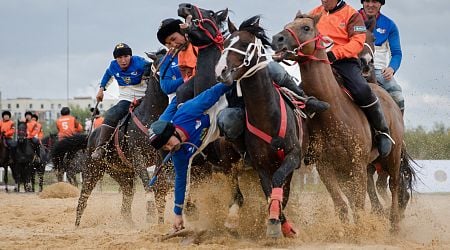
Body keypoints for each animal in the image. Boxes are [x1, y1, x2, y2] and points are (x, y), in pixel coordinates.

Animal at [214, 16, 302, 238]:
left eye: (245, 44)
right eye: (225, 43)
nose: (221, 71)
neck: (268, 117)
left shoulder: (293, 156)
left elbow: (278, 185)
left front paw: (278, 223)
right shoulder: (260, 165)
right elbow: (269, 191)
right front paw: (274, 223)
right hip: (230, 161)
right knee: (237, 190)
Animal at [270, 13, 412, 232]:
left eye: (306, 28)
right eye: (287, 25)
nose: (277, 39)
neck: (334, 112)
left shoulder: (357, 165)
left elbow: (359, 206)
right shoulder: (326, 167)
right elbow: (342, 206)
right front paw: (346, 232)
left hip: (392, 157)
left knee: (395, 186)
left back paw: (394, 223)